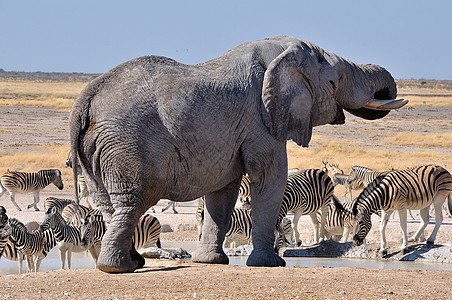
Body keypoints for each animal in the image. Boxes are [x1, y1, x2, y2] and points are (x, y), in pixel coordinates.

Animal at [69, 34, 406, 272]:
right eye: (336, 81)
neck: (278, 50)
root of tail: (85, 99)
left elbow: (222, 193)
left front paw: (210, 262)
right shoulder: (261, 119)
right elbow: (269, 179)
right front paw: (271, 264)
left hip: (99, 149)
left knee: (109, 205)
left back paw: (132, 263)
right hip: (127, 144)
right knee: (134, 201)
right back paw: (117, 268)